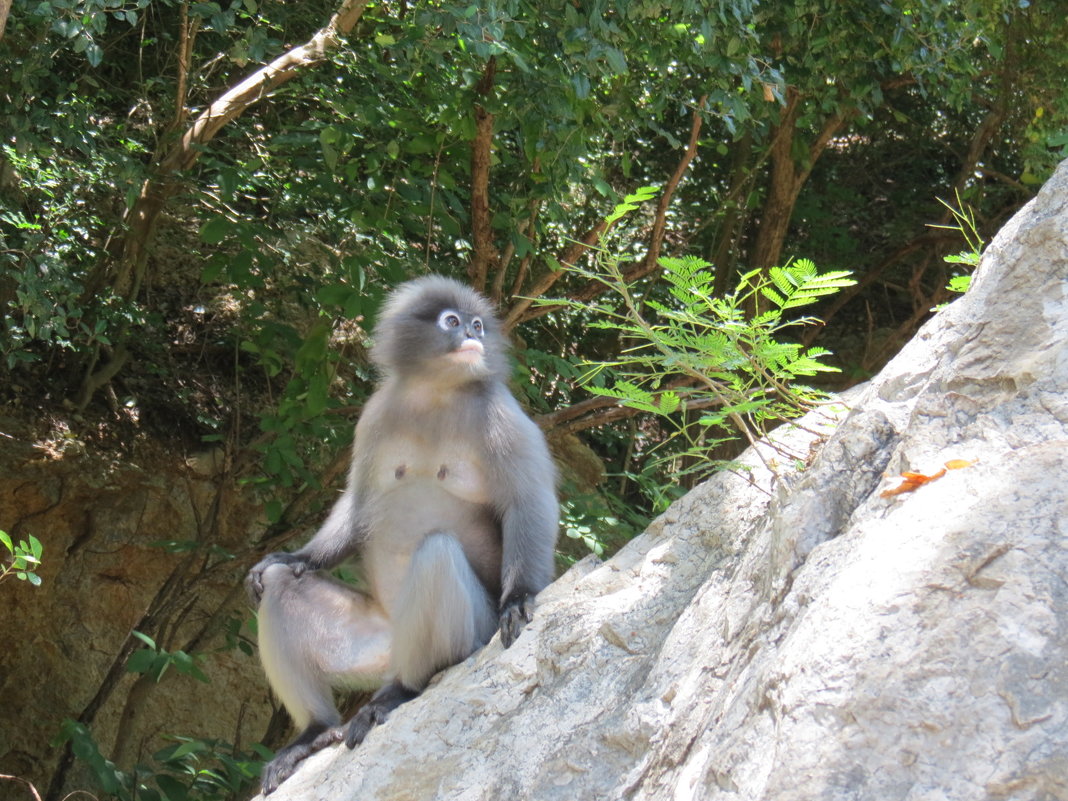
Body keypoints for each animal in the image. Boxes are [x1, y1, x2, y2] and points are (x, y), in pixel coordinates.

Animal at [243, 277, 559, 798]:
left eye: (477, 325)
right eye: (453, 322)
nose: (472, 335)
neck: (434, 395)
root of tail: (396, 651)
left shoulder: (501, 412)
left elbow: (526, 502)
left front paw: (520, 597)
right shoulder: (376, 413)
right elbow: (356, 505)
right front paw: (293, 555)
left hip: (473, 630)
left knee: (436, 552)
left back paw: (399, 693)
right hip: (373, 642)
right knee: (281, 584)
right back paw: (313, 732)